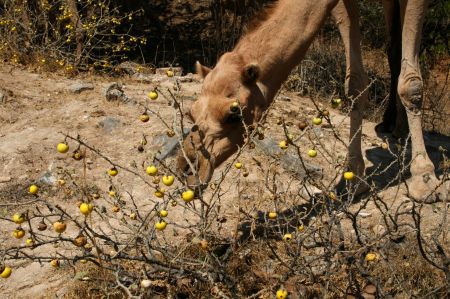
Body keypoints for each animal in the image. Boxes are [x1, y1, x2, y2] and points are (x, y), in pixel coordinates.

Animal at [177, 0, 446, 203]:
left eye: (233, 113)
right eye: (191, 112)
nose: (187, 169)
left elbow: (411, 85)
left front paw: (424, 179)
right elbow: (355, 83)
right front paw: (353, 180)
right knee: (392, 47)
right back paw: (392, 126)